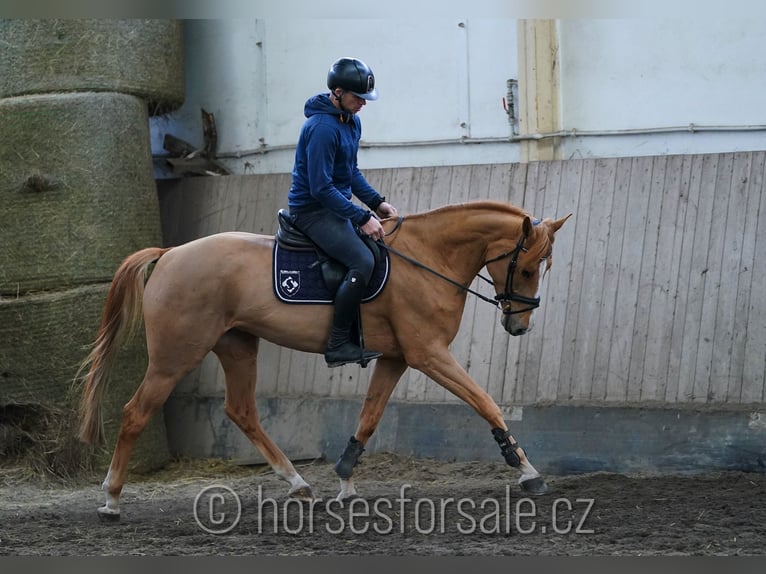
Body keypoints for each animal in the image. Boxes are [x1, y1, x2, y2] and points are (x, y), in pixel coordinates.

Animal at [79, 202, 568, 520]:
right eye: (527, 268)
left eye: (544, 268)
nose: (519, 327)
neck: (427, 259)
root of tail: (169, 255)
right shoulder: (428, 353)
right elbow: (485, 402)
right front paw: (527, 471)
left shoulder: (396, 358)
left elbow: (369, 417)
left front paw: (346, 479)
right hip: (176, 355)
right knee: (135, 413)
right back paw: (112, 499)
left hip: (237, 346)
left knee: (241, 411)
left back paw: (298, 484)